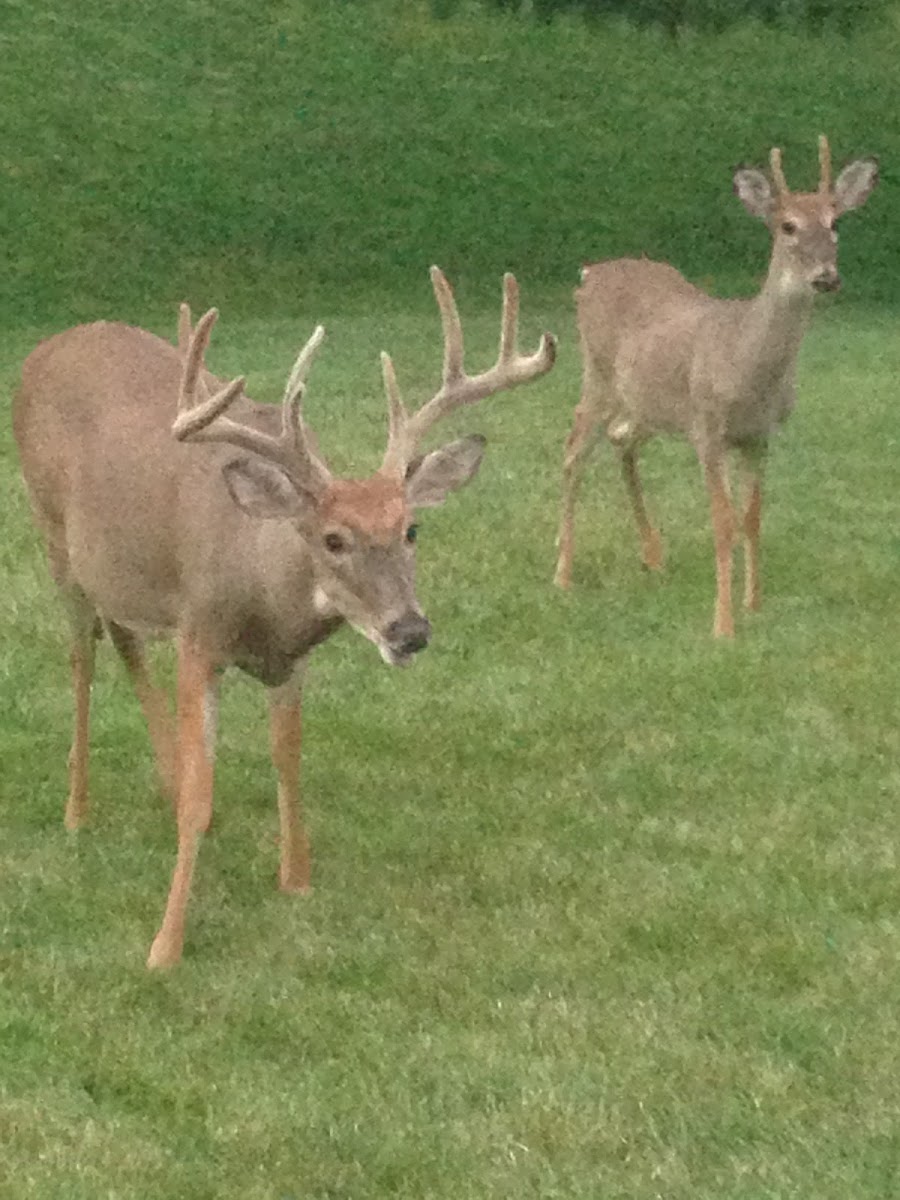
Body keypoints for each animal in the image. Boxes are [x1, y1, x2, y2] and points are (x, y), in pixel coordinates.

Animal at [12, 265, 556, 964]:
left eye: (411, 529)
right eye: (333, 539)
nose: (410, 631)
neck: (262, 592)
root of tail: (46, 348)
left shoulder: (290, 661)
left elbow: (287, 758)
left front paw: (295, 878)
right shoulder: (198, 635)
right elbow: (202, 791)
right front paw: (165, 945)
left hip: (118, 566)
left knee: (124, 635)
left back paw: (160, 775)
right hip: (52, 530)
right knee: (82, 655)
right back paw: (77, 811)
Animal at [556, 136, 883, 638]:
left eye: (835, 223)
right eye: (787, 226)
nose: (827, 277)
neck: (748, 369)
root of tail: (591, 273)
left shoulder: (759, 436)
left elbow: (752, 518)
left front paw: (754, 605)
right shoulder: (707, 428)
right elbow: (723, 522)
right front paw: (723, 624)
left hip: (645, 403)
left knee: (621, 442)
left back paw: (653, 556)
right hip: (598, 376)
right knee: (573, 454)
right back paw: (562, 573)